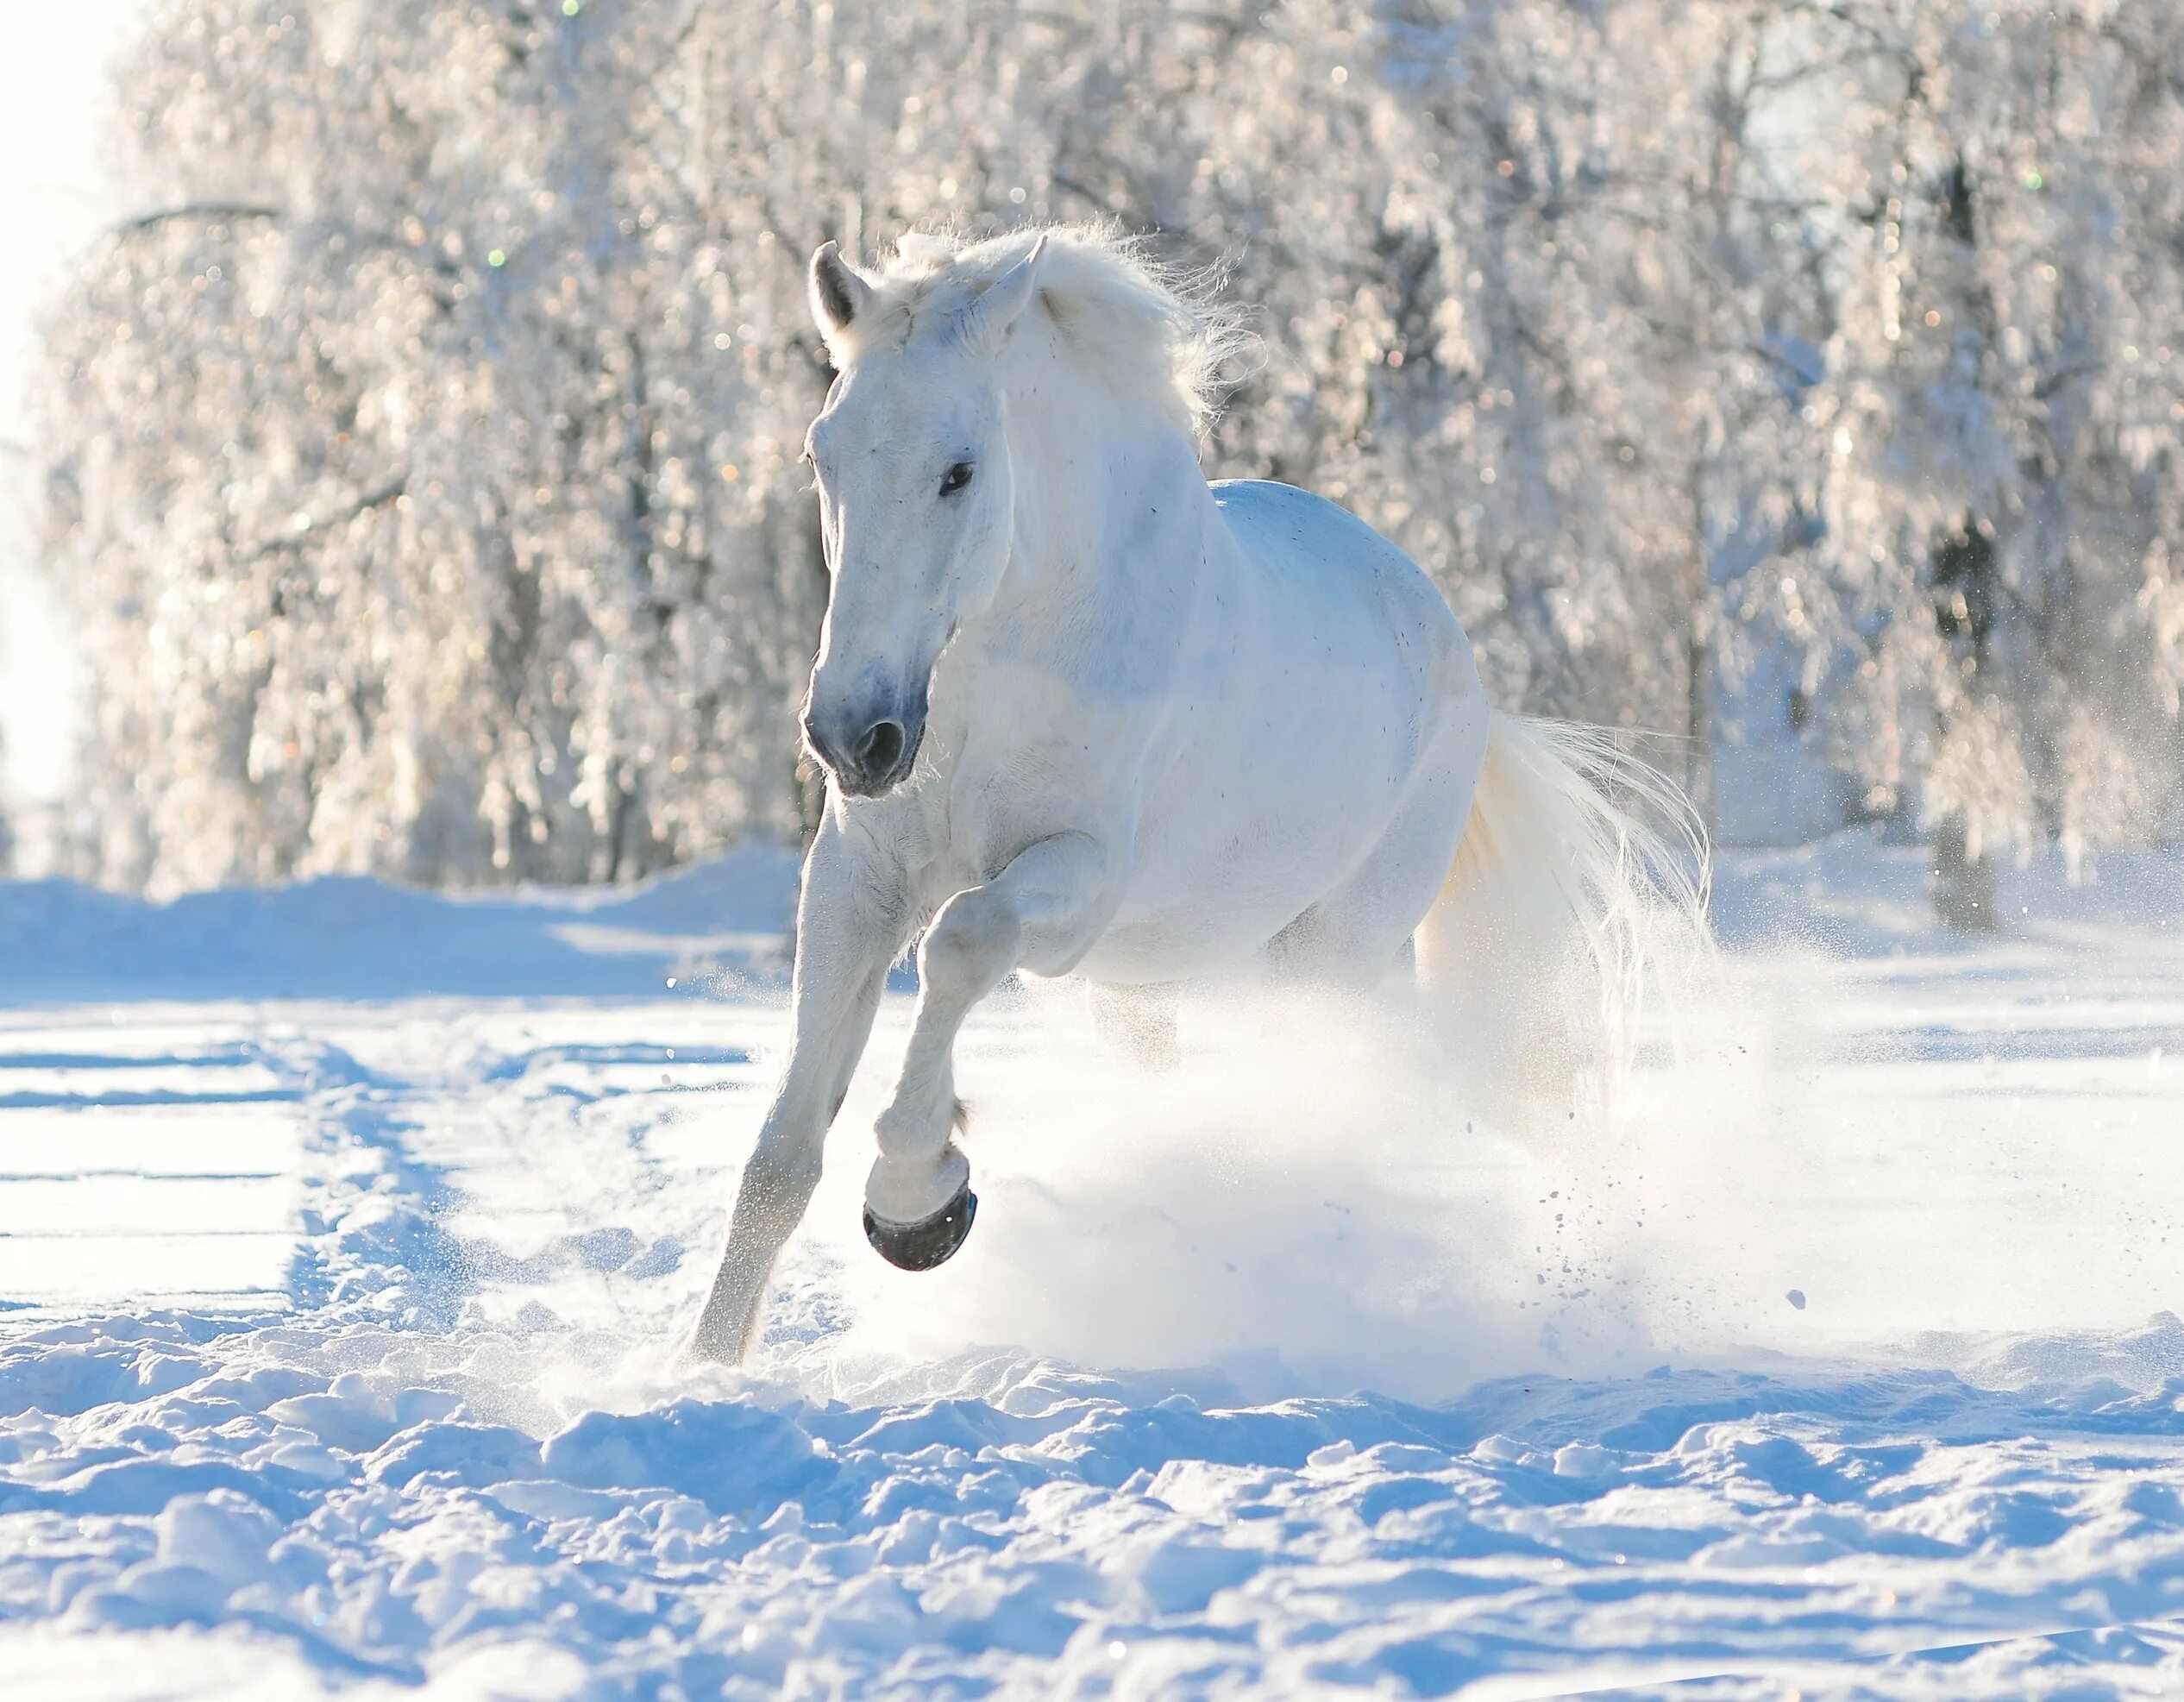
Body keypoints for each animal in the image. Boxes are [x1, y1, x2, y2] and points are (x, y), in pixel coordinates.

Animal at [690, 229, 1694, 1372]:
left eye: (959, 470)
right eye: (825, 455)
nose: (854, 733)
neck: (1007, 658)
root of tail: (1453, 649)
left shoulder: (1078, 880)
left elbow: (962, 942)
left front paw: (919, 1199)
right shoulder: (859, 883)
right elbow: (780, 1160)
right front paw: (701, 1369)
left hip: (1319, 962)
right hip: (1148, 987)